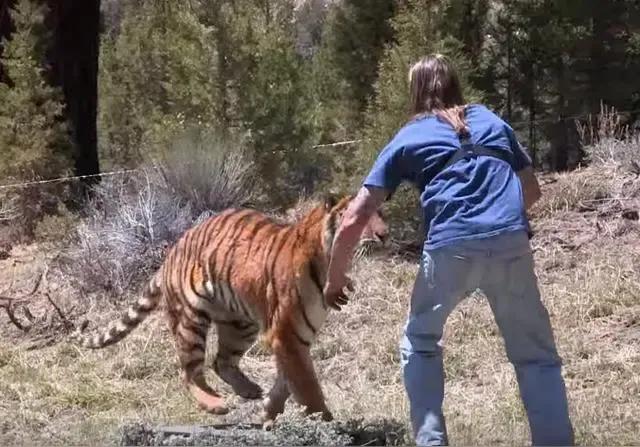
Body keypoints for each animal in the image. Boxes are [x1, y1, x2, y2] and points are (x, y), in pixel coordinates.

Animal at [71, 195, 390, 428]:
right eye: (359, 217)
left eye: (380, 213)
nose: (385, 235)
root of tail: (172, 251)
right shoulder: (286, 333)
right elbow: (306, 384)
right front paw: (325, 421)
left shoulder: (293, 337)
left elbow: (287, 380)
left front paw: (268, 412)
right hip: (191, 320)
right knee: (189, 372)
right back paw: (216, 404)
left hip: (240, 323)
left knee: (220, 361)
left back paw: (249, 390)